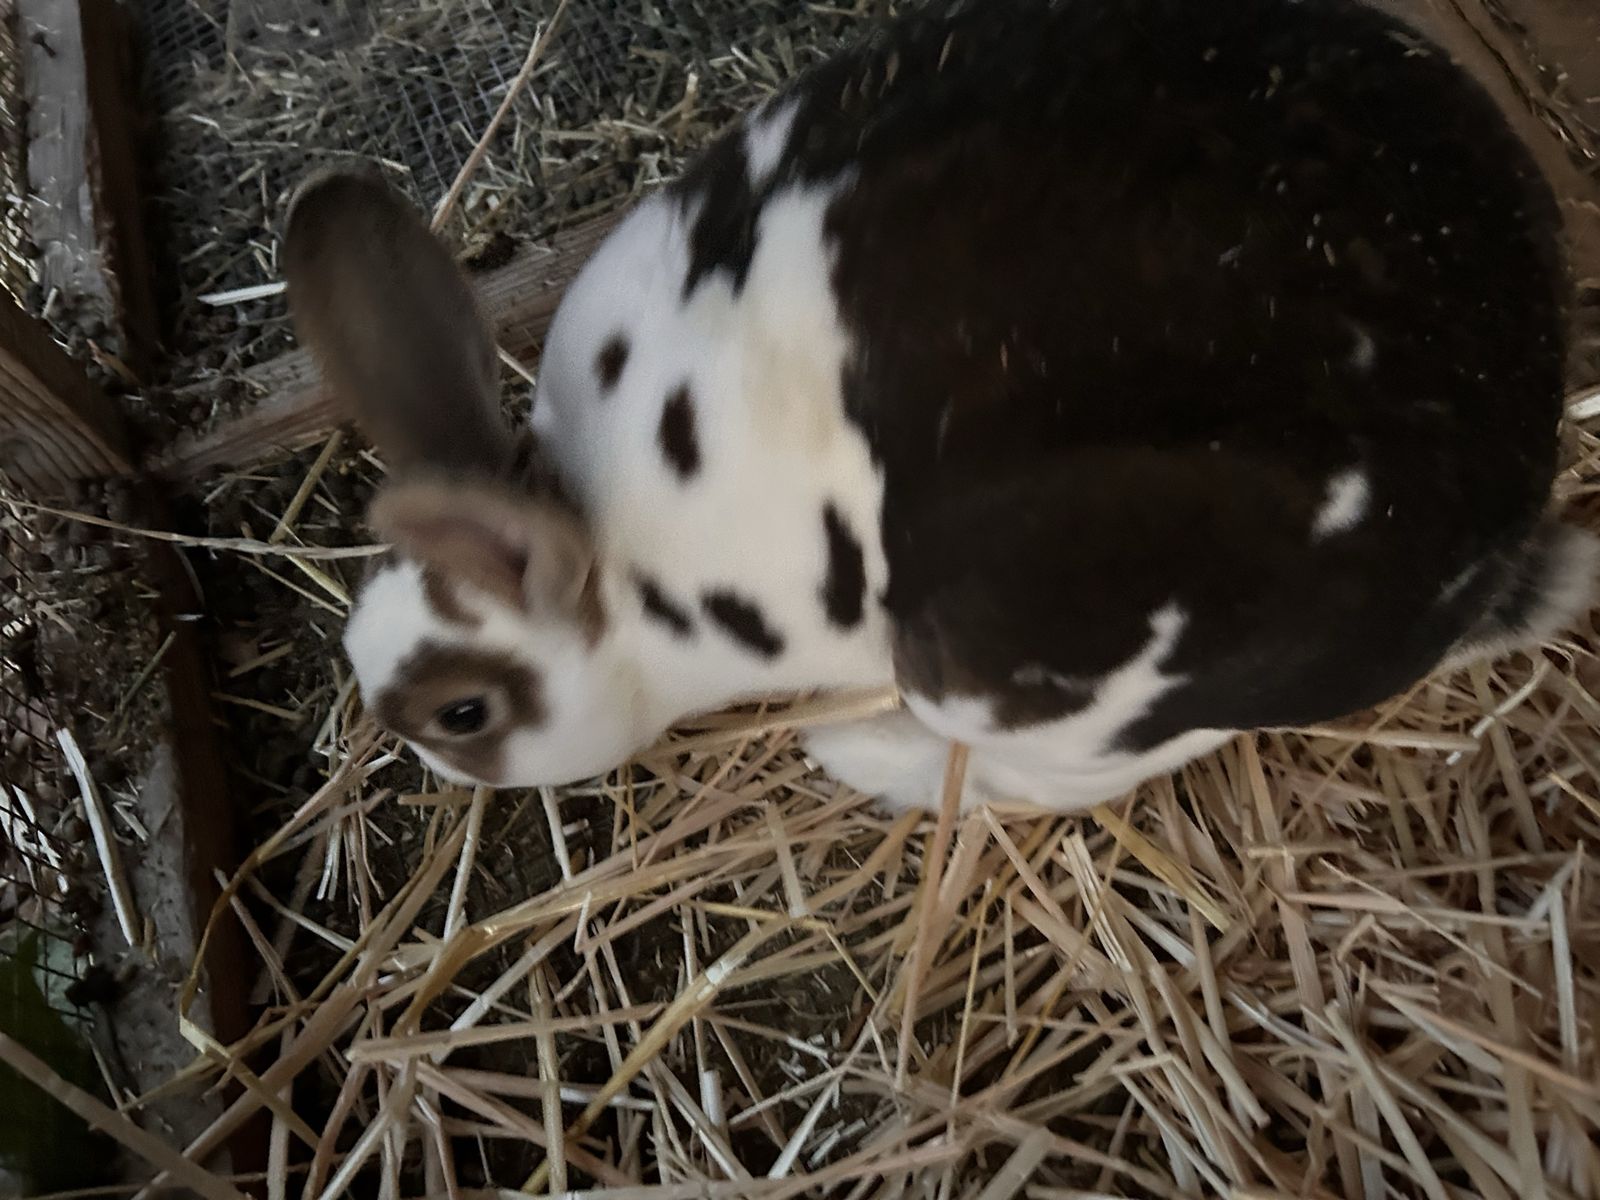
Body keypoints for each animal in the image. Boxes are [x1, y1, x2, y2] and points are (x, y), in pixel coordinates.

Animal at [281, 0, 1598, 814]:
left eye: (462, 711)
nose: (428, 763)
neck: (612, 553)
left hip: (1031, 670)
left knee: (1053, 776)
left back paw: (859, 752)